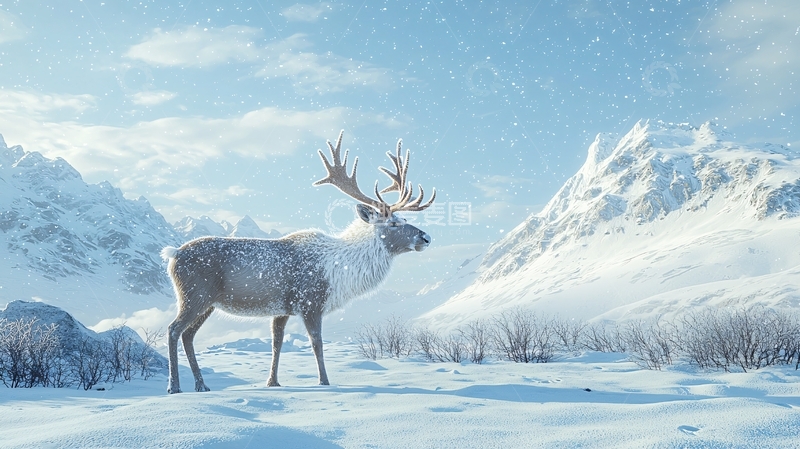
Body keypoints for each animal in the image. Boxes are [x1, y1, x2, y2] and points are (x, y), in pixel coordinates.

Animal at [160, 131, 435, 394]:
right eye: (393, 223)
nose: (426, 237)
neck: (341, 271)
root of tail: (173, 254)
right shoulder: (311, 301)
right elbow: (316, 343)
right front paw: (324, 382)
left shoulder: (281, 309)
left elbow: (277, 343)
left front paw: (272, 382)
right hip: (194, 295)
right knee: (173, 329)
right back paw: (174, 386)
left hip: (207, 303)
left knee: (188, 335)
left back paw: (201, 385)